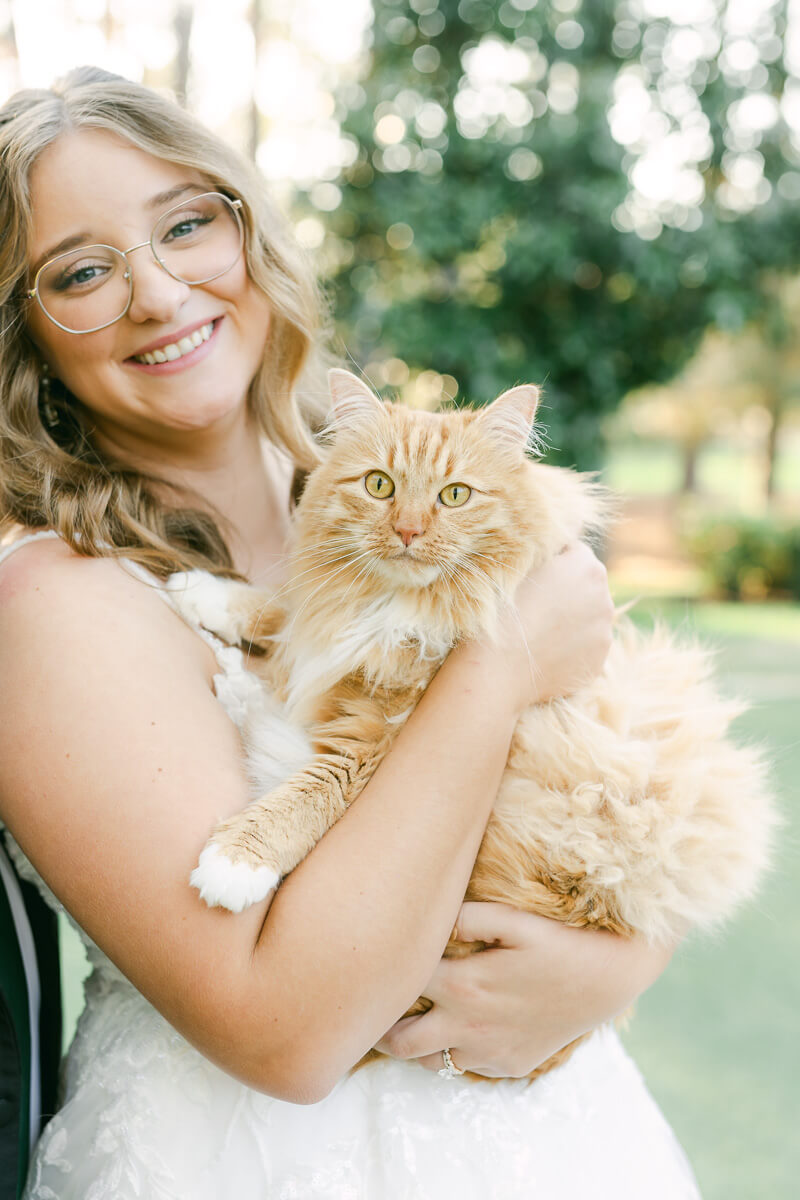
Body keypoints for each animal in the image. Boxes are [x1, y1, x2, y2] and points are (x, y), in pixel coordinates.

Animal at [169, 364, 777, 1080]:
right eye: (380, 485)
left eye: (455, 495)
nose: (407, 531)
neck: (402, 610)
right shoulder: (337, 627)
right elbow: (285, 609)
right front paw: (203, 591)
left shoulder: (379, 739)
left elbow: (306, 796)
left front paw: (236, 862)